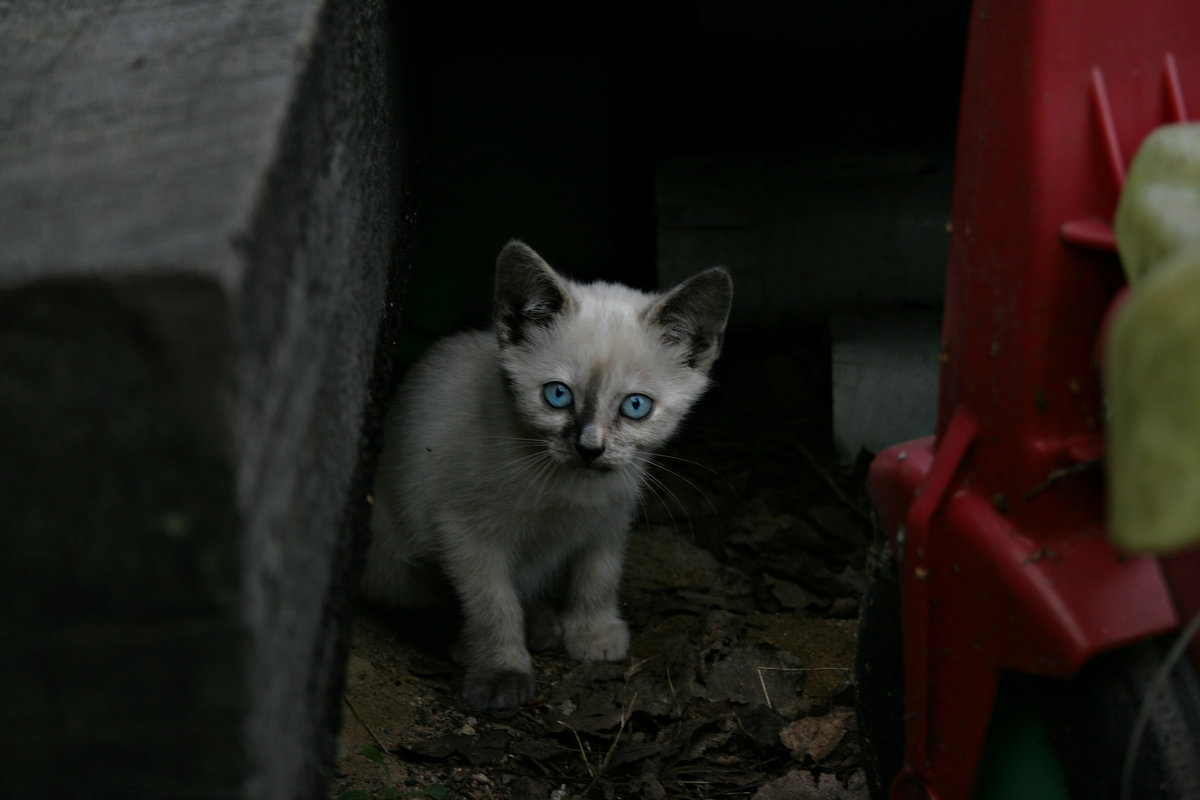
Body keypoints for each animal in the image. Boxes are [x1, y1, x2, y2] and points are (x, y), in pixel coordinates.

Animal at [360, 241, 729, 710]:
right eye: (557, 395)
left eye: (636, 406)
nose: (589, 448)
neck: (569, 491)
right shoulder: (465, 533)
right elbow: (493, 606)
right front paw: (501, 671)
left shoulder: (610, 518)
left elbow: (599, 576)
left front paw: (593, 633)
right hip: (387, 544)